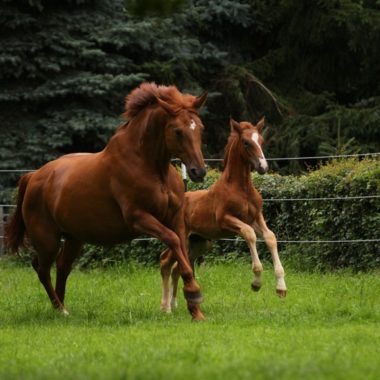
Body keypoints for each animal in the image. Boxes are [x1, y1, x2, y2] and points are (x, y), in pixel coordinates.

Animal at [159, 118, 286, 312]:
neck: (241, 188)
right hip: (181, 239)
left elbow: (270, 237)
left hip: (199, 243)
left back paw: (174, 304)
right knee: (165, 262)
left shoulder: (256, 217)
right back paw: (165, 307)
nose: (263, 167)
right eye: (246, 142)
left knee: (176, 268)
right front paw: (256, 282)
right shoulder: (226, 220)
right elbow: (249, 234)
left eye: (261, 141)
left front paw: (281, 288)